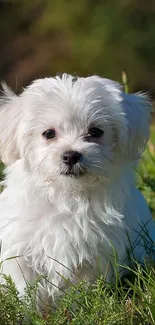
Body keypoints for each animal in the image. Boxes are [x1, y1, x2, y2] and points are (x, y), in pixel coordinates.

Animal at [0, 74, 154, 302]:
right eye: (48, 133)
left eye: (95, 131)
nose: (71, 155)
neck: (67, 195)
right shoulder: (21, 248)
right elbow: (25, 287)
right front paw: (28, 308)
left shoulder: (95, 253)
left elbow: (82, 290)